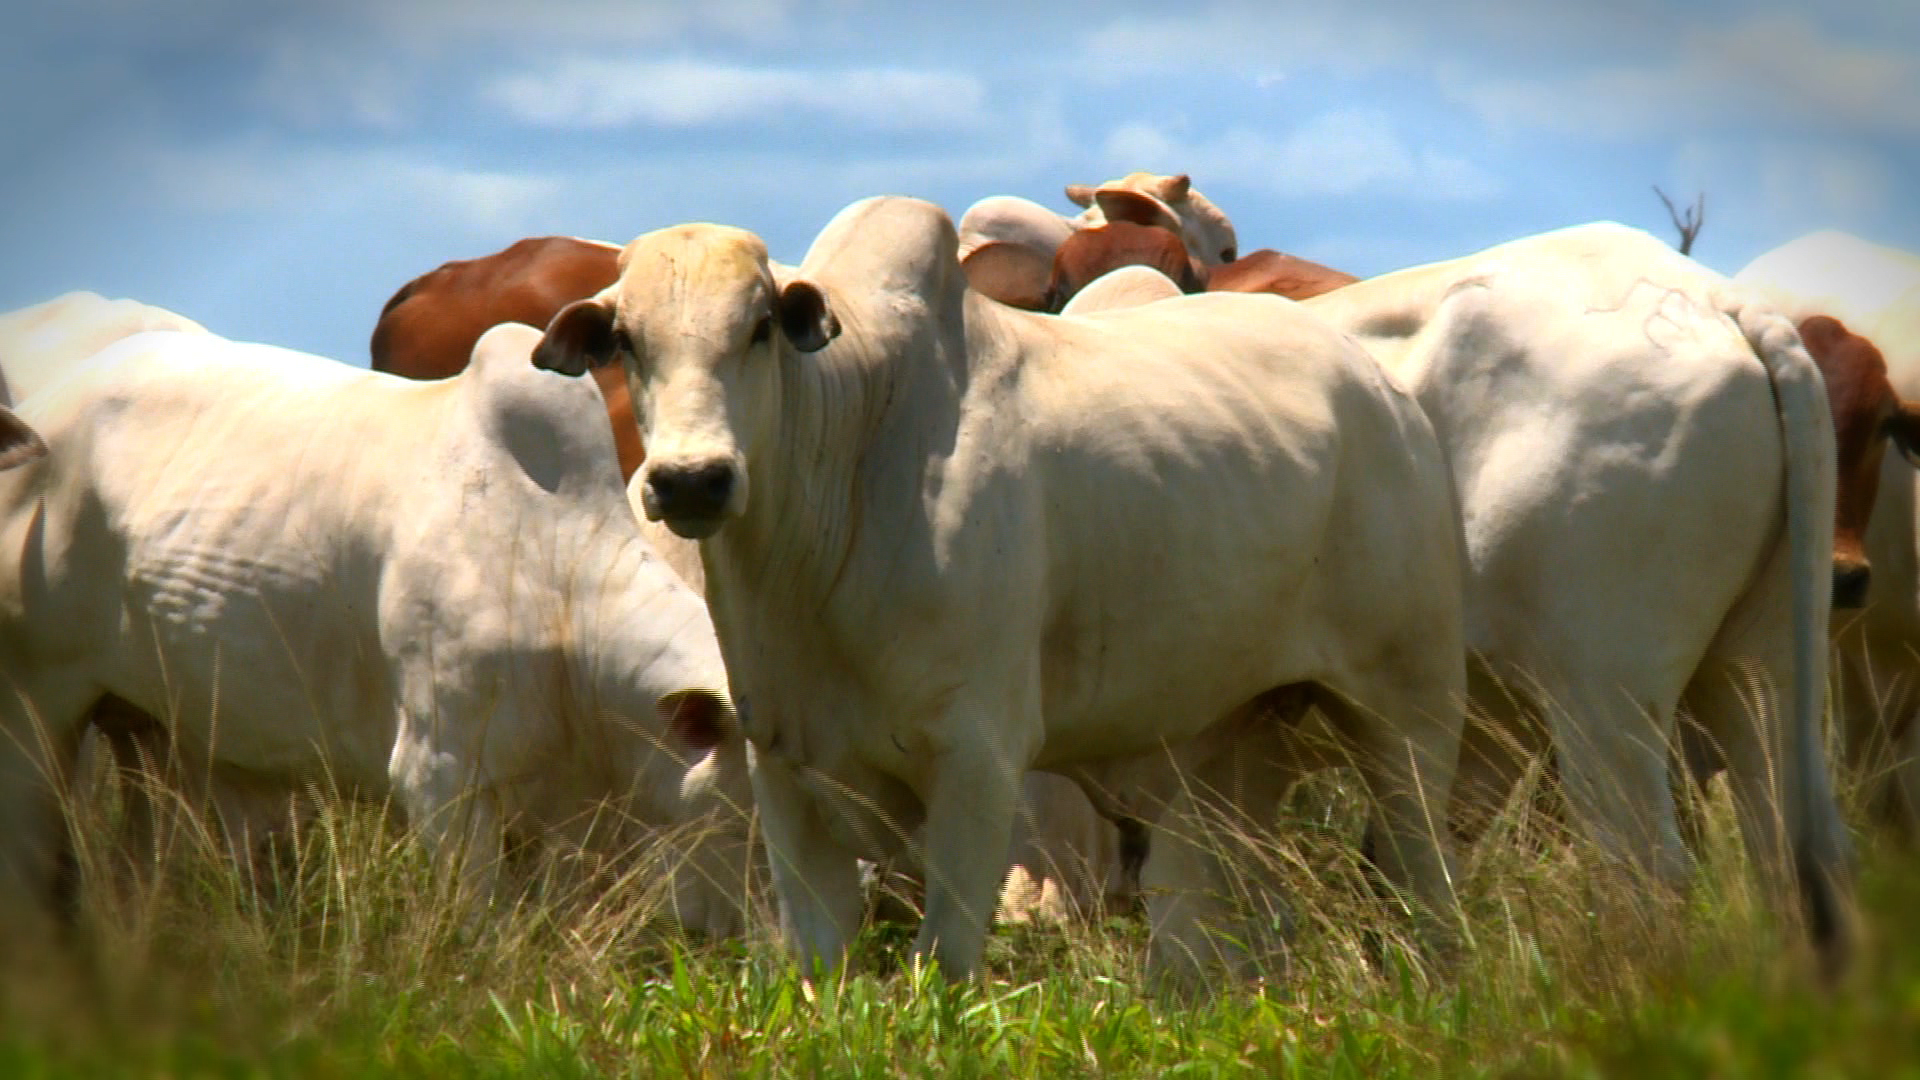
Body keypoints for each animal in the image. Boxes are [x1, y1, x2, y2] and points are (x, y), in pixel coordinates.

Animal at [533, 195, 1459, 983]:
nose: (693, 480)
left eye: (760, 327)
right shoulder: (784, 760)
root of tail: (1384, 391)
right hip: (1229, 743)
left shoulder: (977, 759)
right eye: (627, 340)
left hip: (1409, 713)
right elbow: (819, 960)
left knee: (1426, 878)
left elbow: (942, 960)